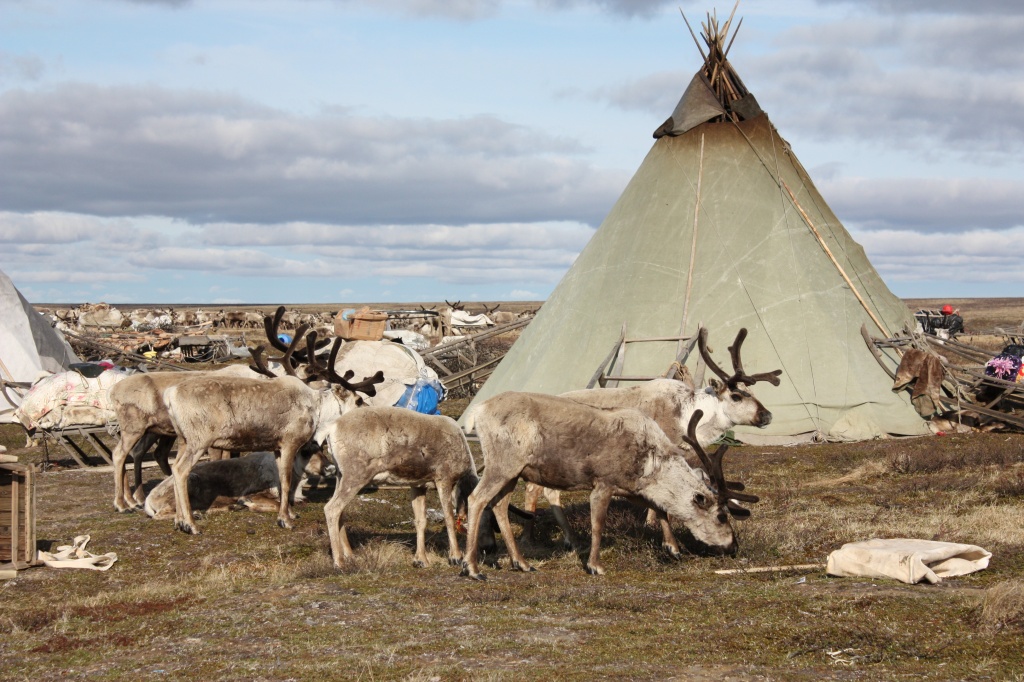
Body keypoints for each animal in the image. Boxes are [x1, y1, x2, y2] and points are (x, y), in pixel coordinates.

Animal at [461, 393, 756, 579]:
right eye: (721, 516)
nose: (734, 546)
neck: (651, 464)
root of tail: (478, 411)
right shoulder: (604, 482)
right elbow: (598, 524)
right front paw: (594, 565)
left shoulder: (632, 488)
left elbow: (661, 509)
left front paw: (673, 548)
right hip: (503, 463)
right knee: (476, 498)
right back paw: (472, 568)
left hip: (513, 471)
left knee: (499, 504)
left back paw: (521, 563)